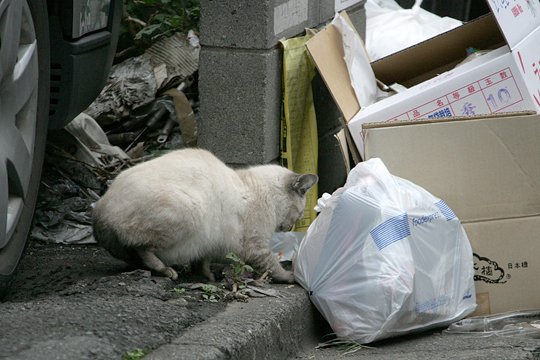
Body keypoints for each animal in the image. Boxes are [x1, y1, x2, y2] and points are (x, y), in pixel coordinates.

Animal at [92, 148, 316, 282]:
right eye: (300, 214)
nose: (289, 227)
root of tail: (99, 209)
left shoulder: (209, 242)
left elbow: (203, 261)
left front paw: (208, 277)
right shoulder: (255, 246)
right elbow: (272, 264)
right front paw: (291, 276)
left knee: (134, 256)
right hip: (189, 211)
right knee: (142, 249)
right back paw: (166, 271)